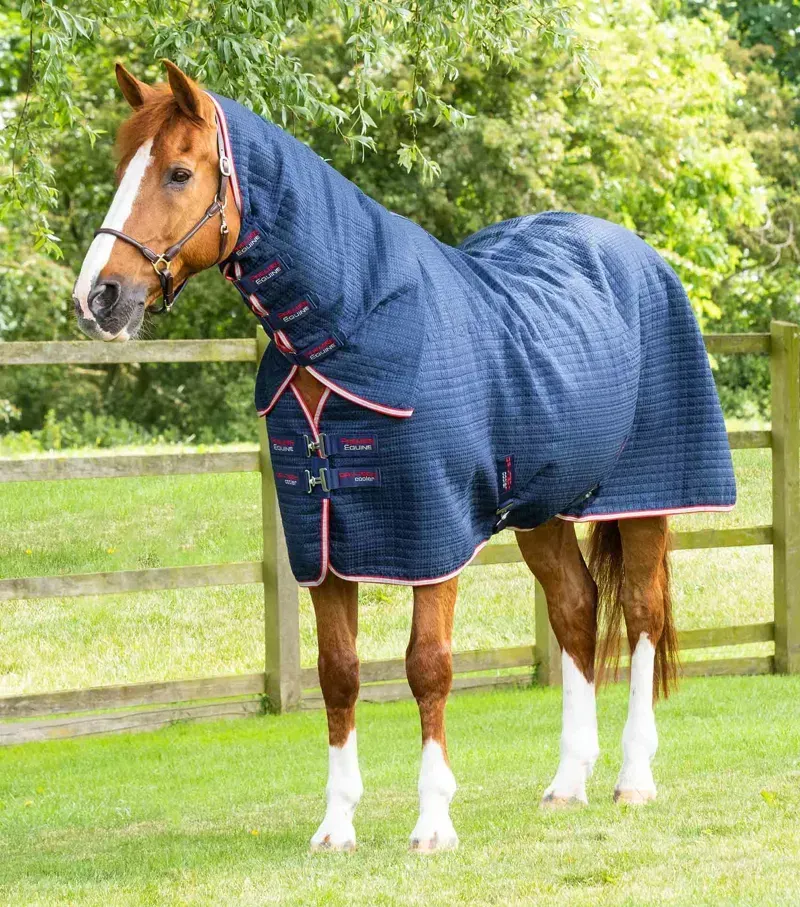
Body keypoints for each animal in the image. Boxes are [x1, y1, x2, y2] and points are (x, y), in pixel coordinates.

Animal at [73, 61, 736, 853]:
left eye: (178, 171)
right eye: (121, 168)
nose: (98, 297)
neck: (348, 329)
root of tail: (638, 255)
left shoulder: (431, 532)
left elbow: (428, 667)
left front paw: (433, 822)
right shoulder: (322, 540)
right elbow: (338, 672)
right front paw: (336, 826)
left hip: (646, 500)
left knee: (639, 616)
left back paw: (633, 778)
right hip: (540, 510)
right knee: (576, 609)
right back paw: (568, 783)